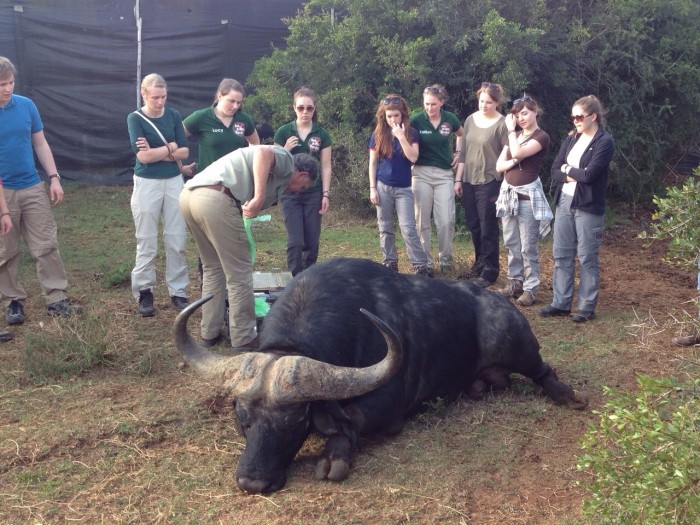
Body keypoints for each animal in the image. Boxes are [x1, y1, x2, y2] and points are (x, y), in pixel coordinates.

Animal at [174, 256, 584, 494]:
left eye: (295, 420)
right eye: (242, 418)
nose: (252, 481)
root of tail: (500, 302)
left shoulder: (387, 411)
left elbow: (349, 424)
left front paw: (335, 457)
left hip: (518, 346)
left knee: (542, 370)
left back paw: (567, 394)